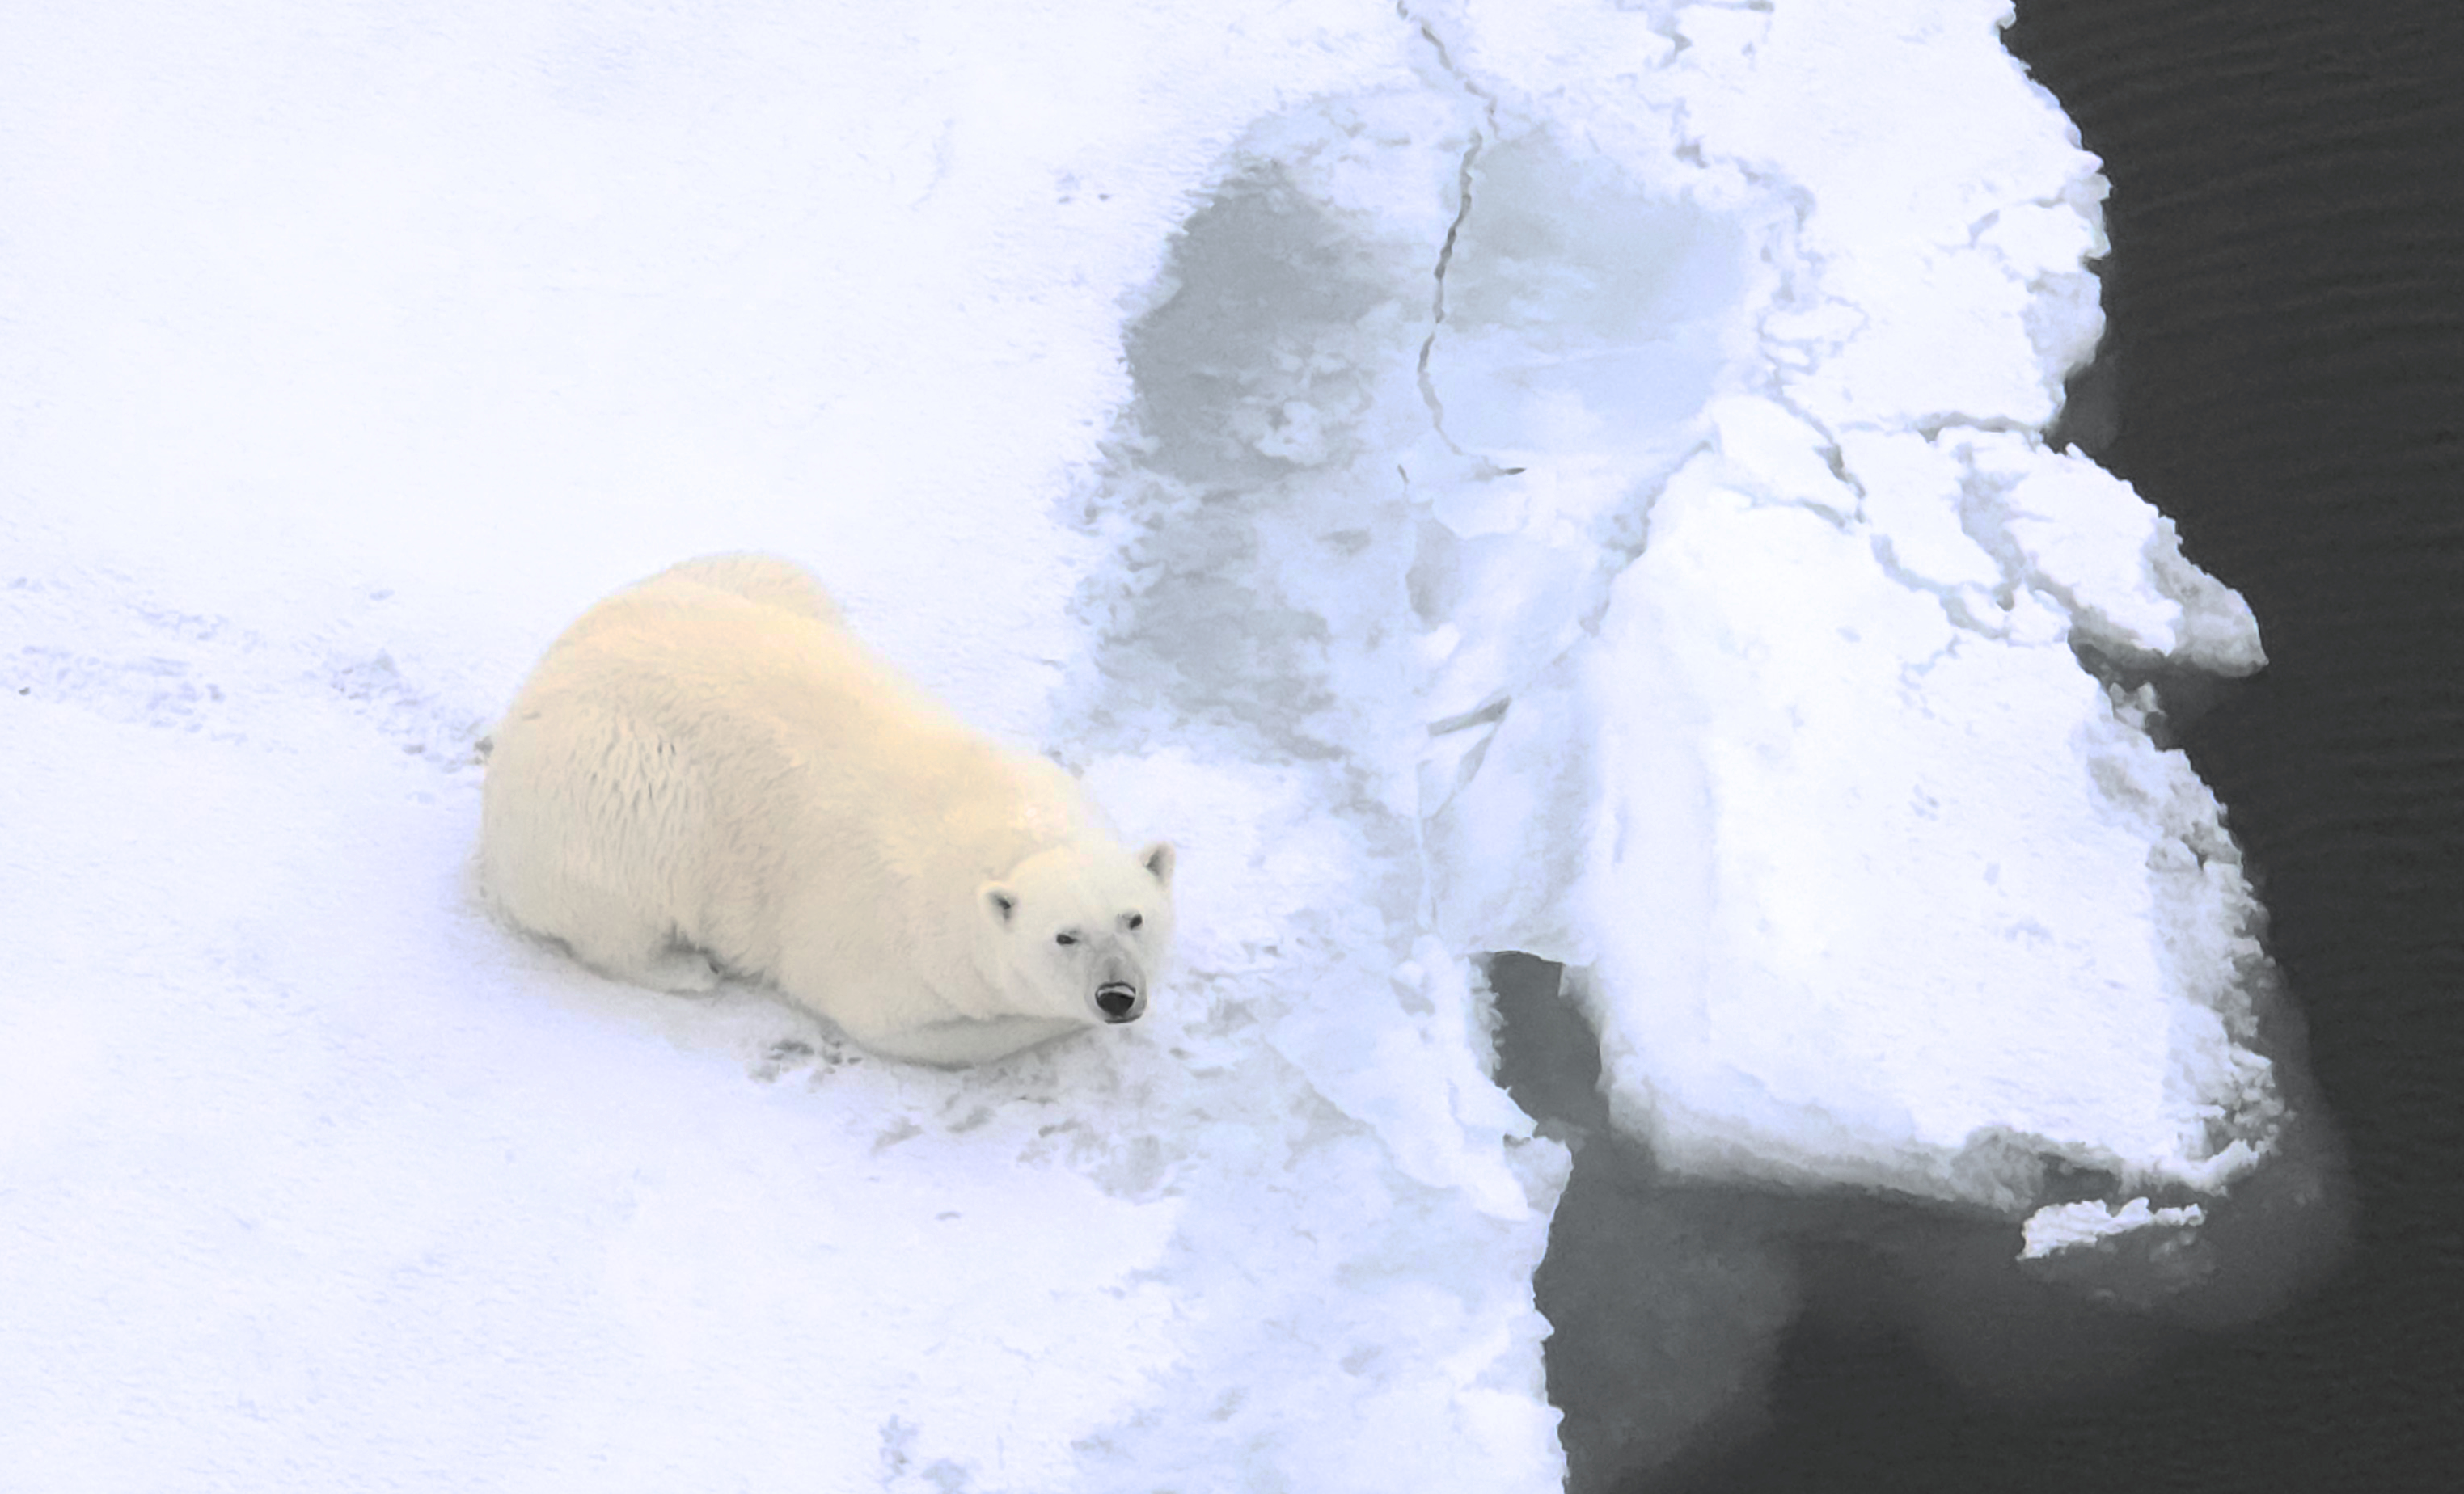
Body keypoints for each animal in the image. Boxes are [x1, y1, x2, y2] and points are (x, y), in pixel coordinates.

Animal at [478, 552, 1175, 1067]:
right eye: (1064, 935)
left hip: (740, 583)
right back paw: (686, 969)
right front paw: (1055, 1022)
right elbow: (928, 1032)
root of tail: (536, 686)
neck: (1006, 828)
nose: (1116, 995)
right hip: (612, 784)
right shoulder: (889, 953)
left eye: (1134, 918)